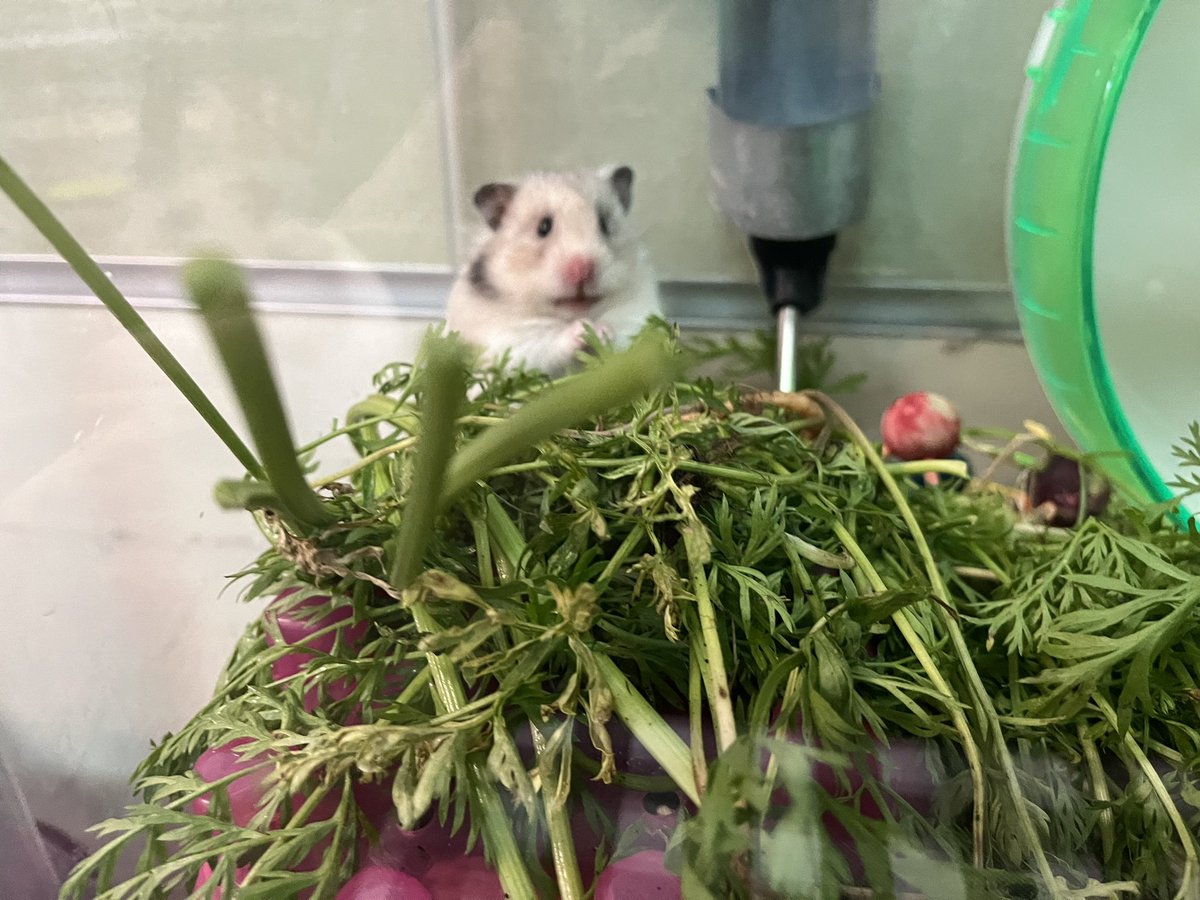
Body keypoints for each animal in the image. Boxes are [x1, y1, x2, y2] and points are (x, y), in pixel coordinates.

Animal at [444, 165, 663, 376]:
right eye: (543, 227)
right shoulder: (513, 341)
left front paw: (602, 331)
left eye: (604, 224)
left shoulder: (636, 316)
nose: (583, 269)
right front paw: (584, 330)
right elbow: (548, 343)